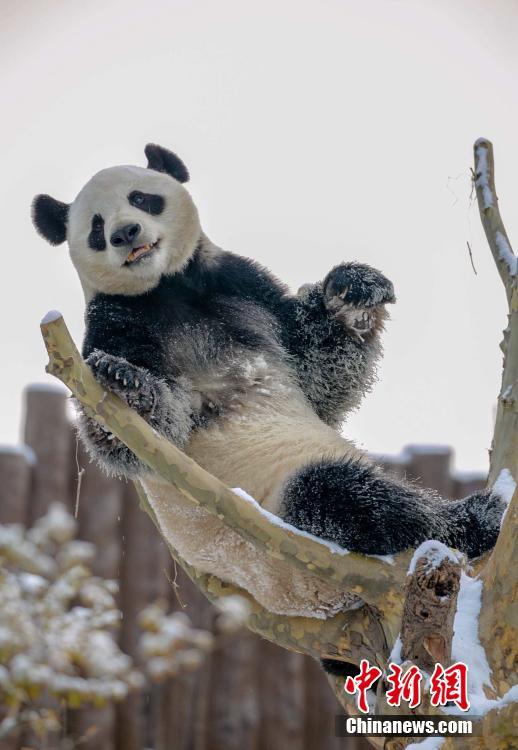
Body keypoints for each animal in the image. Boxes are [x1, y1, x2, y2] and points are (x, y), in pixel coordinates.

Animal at [32, 143, 505, 623]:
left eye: (142, 199)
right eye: (96, 227)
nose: (125, 233)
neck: (169, 286)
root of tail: (331, 605)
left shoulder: (242, 285)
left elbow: (320, 376)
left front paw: (353, 291)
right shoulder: (115, 321)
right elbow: (145, 435)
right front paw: (123, 381)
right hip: (280, 534)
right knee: (342, 496)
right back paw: (477, 517)